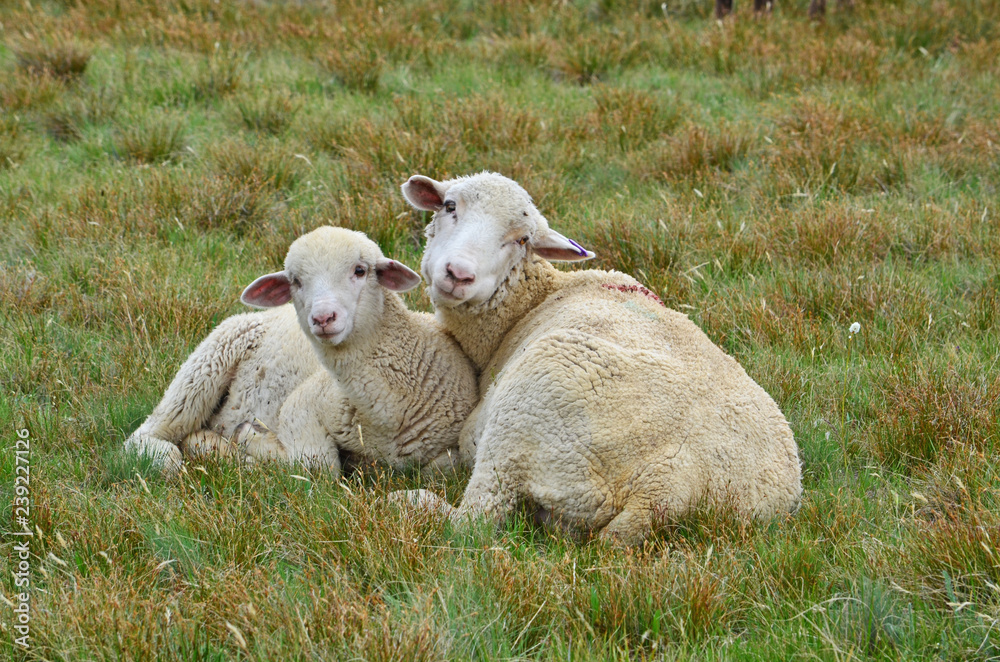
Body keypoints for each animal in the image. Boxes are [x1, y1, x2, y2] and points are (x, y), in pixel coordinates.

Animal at [125, 227, 478, 478]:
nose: (323, 318)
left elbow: (441, 468)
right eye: (295, 281)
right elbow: (317, 466)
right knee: (148, 434)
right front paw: (253, 443)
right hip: (208, 362)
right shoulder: (304, 404)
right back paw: (179, 456)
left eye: (360, 270)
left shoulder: (454, 447)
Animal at [395, 171, 802, 545]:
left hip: (532, 412)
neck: (533, 302)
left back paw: (410, 500)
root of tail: (668, 489)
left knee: (472, 521)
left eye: (522, 240)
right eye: (450, 207)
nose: (458, 274)